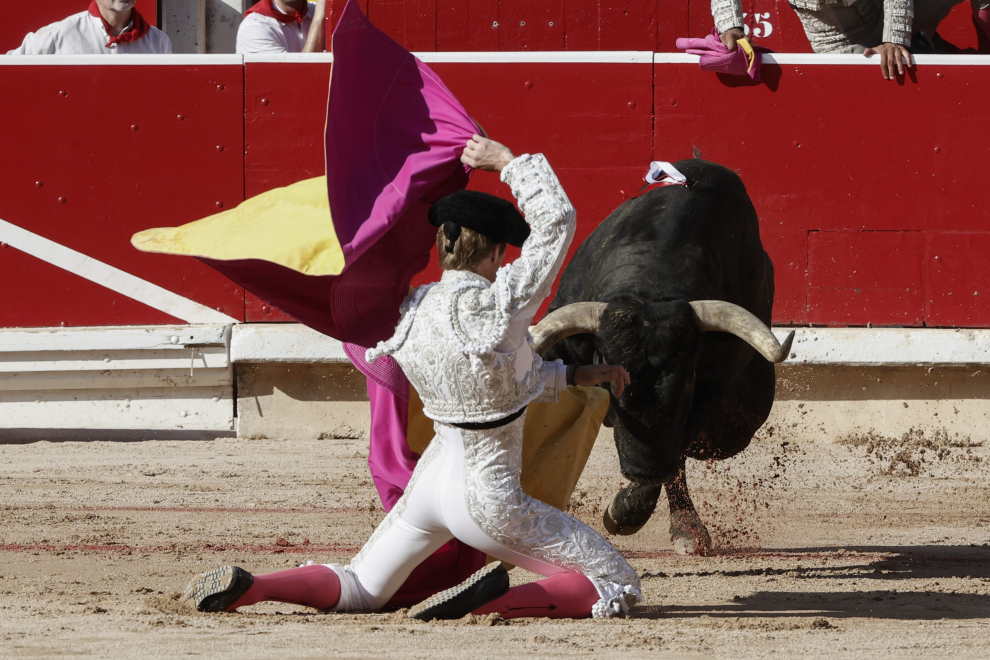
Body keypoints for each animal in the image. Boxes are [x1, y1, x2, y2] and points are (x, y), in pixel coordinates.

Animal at [544, 160, 792, 556]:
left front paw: (624, 513)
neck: (652, 287)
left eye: (688, 378)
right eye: (607, 377)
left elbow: (675, 453)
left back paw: (686, 529)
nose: (643, 469)